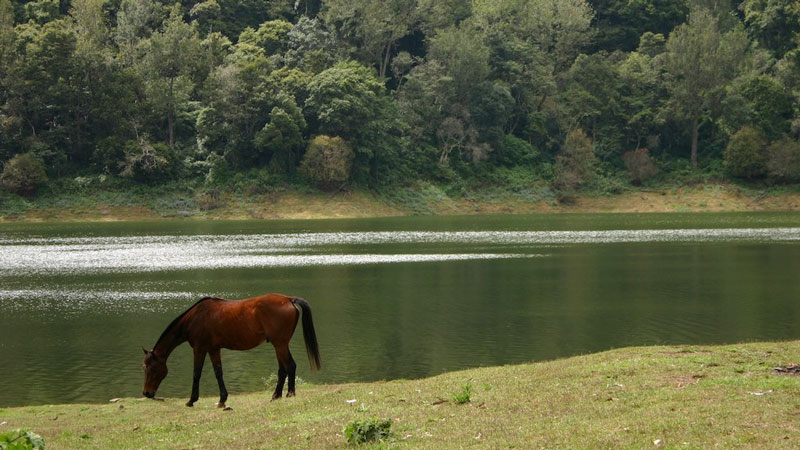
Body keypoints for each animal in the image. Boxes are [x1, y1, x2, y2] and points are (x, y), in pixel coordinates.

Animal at [142, 296, 320, 408]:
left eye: (150, 367)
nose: (146, 393)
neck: (195, 318)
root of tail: (288, 299)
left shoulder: (199, 349)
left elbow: (196, 374)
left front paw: (191, 400)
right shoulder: (213, 349)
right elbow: (218, 372)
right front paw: (222, 400)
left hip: (280, 344)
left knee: (290, 366)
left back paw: (290, 394)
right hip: (279, 345)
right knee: (283, 369)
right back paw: (276, 396)